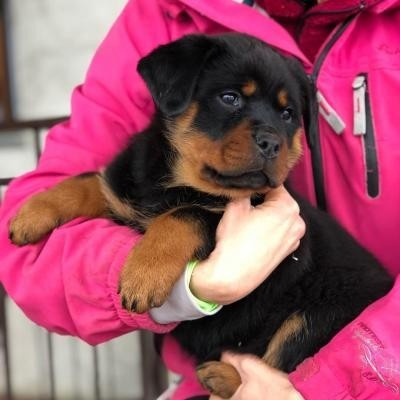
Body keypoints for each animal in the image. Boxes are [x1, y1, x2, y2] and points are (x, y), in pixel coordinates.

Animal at [7, 33, 392, 396]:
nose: (272, 142)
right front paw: (31, 214)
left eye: (287, 114)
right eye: (230, 98)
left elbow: (183, 215)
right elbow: (89, 181)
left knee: (282, 366)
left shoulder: (227, 214)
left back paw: (222, 376)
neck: (180, 182)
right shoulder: (126, 192)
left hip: (322, 311)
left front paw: (143, 274)